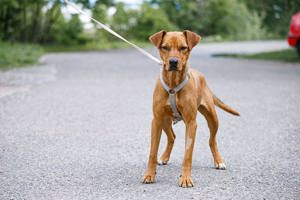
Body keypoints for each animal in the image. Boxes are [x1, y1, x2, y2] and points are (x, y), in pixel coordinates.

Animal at [142, 30, 239, 188]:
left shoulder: (191, 123)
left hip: (213, 118)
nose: (173, 62)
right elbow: (152, 152)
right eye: (164, 47)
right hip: (164, 120)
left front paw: (186, 178)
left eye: (183, 48)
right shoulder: (156, 120)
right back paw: (164, 157)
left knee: (212, 140)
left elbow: (188, 154)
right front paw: (149, 174)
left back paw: (219, 161)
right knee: (172, 136)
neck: (173, 84)